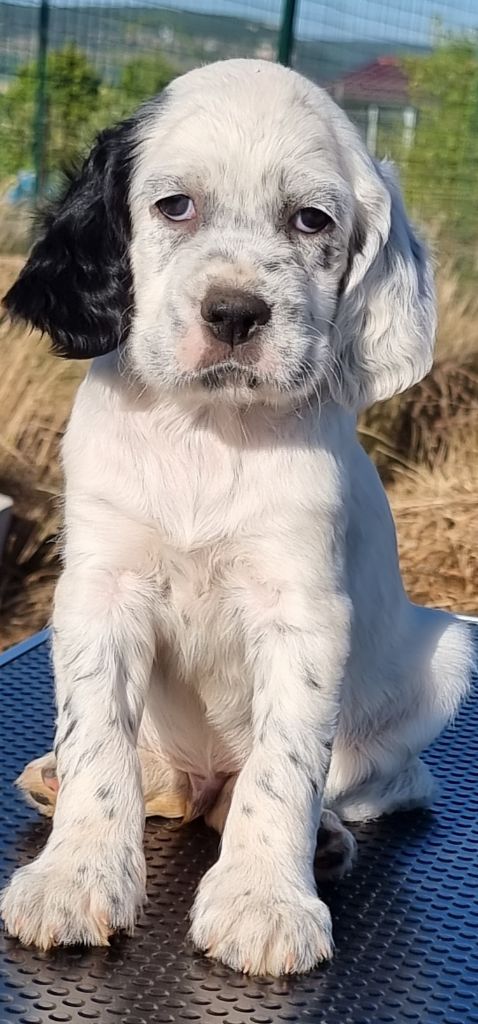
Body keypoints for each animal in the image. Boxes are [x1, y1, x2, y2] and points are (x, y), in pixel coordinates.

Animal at [1, 58, 473, 976]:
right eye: (174, 206)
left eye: (311, 219)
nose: (235, 314)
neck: (207, 431)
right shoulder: (99, 591)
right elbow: (97, 740)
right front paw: (76, 875)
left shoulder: (303, 612)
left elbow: (284, 763)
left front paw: (264, 898)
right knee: (155, 775)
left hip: (447, 655)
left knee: (379, 781)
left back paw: (321, 837)